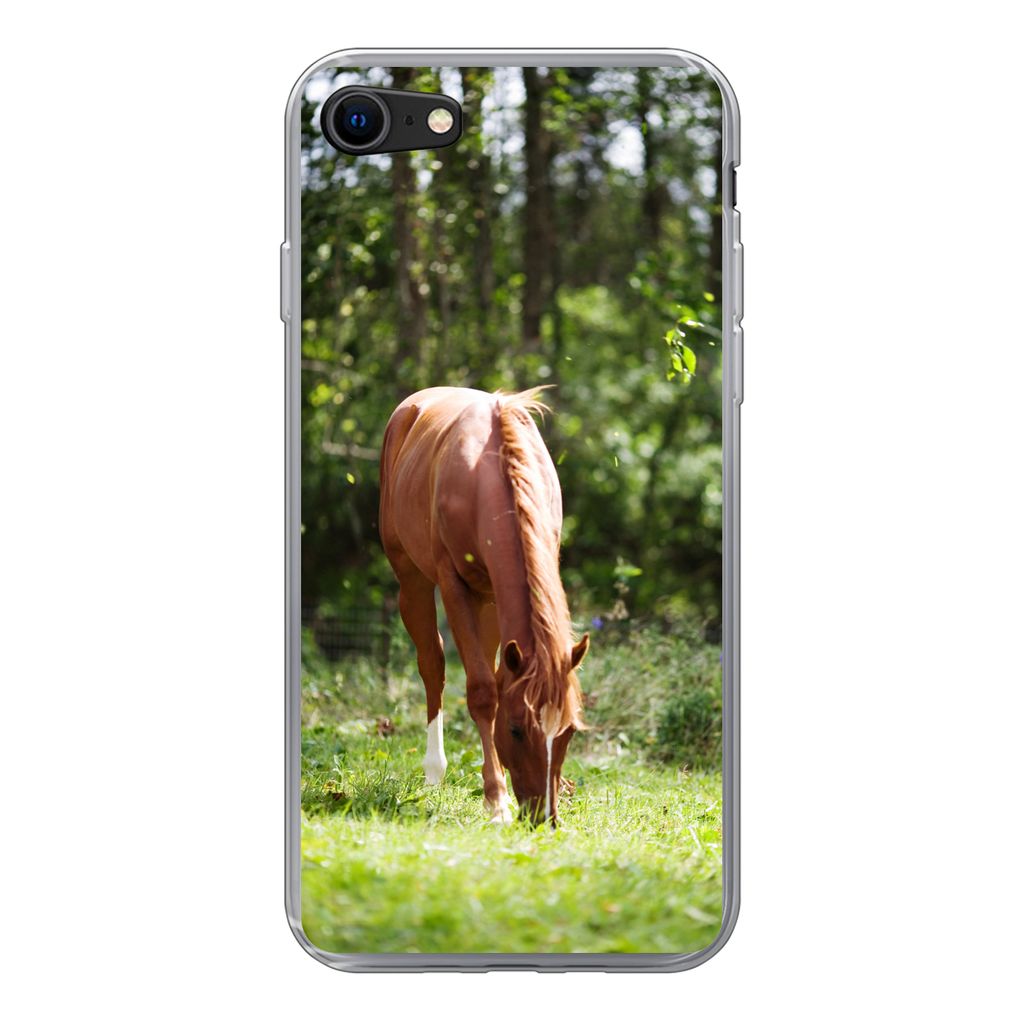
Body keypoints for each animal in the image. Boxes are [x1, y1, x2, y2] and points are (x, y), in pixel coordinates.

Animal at [379, 387, 589, 824]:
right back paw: (434, 772)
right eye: (516, 729)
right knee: (433, 664)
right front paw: (496, 802)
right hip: (413, 581)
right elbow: (480, 692)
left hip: (490, 599)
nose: (543, 817)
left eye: (569, 731)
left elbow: (494, 681)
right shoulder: (455, 585)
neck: (488, 476)